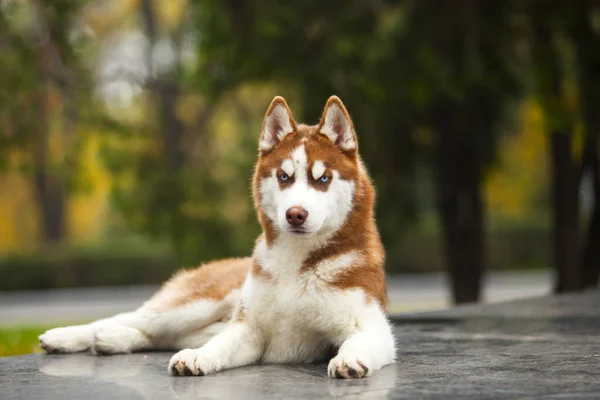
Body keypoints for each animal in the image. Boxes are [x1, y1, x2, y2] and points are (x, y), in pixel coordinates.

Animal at [37, 95, 396, 380]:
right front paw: (199, 357)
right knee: (133, 318)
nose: (295, 214)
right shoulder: (248, 328)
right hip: (195, 304)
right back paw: (67, 336)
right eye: (284, 176)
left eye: (322, 179)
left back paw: (111, 339)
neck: (296, 266)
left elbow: (361, 339)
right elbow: (219, 344)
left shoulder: (370, 324)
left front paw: (350, 358)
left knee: (158, 334)